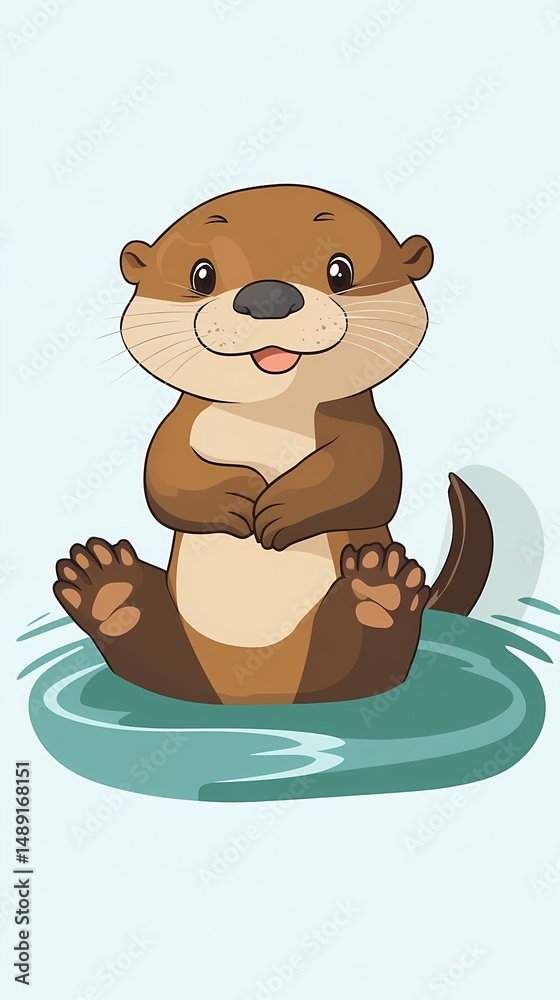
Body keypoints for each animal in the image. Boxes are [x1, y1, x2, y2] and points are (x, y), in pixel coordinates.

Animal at [53, 184, 492, 705]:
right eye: (202, 274)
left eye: (340, 269)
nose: (268, 295)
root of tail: (255, 694)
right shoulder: (179, 424)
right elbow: (163, 477)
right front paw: (235, 498)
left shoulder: (363, 426)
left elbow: (371, 478)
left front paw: (281, 509)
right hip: (187, 657)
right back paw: (106, 587)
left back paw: (380, 592)